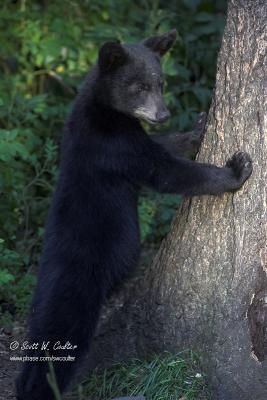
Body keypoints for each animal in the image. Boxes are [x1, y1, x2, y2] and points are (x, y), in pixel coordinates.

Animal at [15, 28, 252, 400]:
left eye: (161, 83)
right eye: (139, 86)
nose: (163, 114)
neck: (105, 110)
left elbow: (163, 147)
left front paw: (198, 128)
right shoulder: (114, 145)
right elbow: (166, 171)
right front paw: (236, 170)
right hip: (77, 292)